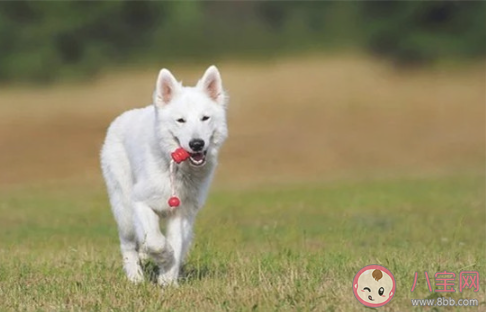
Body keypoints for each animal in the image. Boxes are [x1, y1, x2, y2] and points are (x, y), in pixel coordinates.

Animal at [100, 66, 228, 286]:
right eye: (181, 120)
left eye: (205, 118)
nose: (196, 144)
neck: (177, 169)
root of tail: (120, 119)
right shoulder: (140, 202)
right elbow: (156, 241)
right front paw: (164, 258)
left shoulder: (181, 213)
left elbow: (175, 243)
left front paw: (167, 280)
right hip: (124, 209)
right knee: (128, 244)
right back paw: (135, 277)